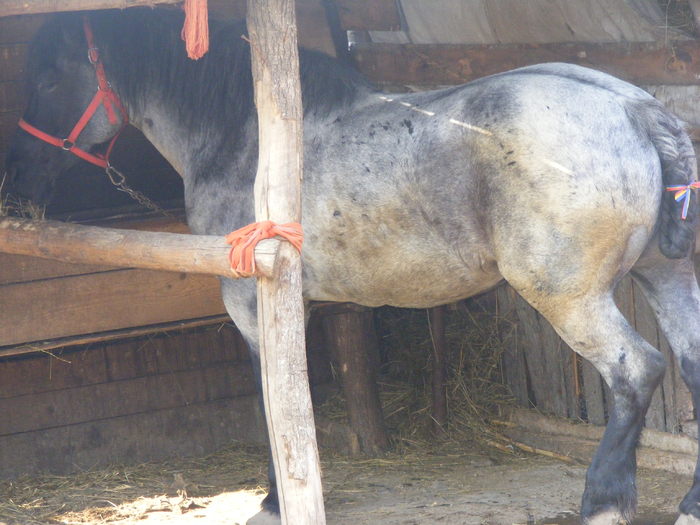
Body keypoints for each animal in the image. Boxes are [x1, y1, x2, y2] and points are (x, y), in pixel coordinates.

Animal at [4, 8, 700, 524]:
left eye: (48, 78)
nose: (16, 184)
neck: (246, 138)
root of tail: (638, 109)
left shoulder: (253, 307)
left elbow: (274, 403)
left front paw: (275, 498)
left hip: (569, 296)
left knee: (637, 371)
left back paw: (603, 501)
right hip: (665, 276)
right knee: (689, 363)